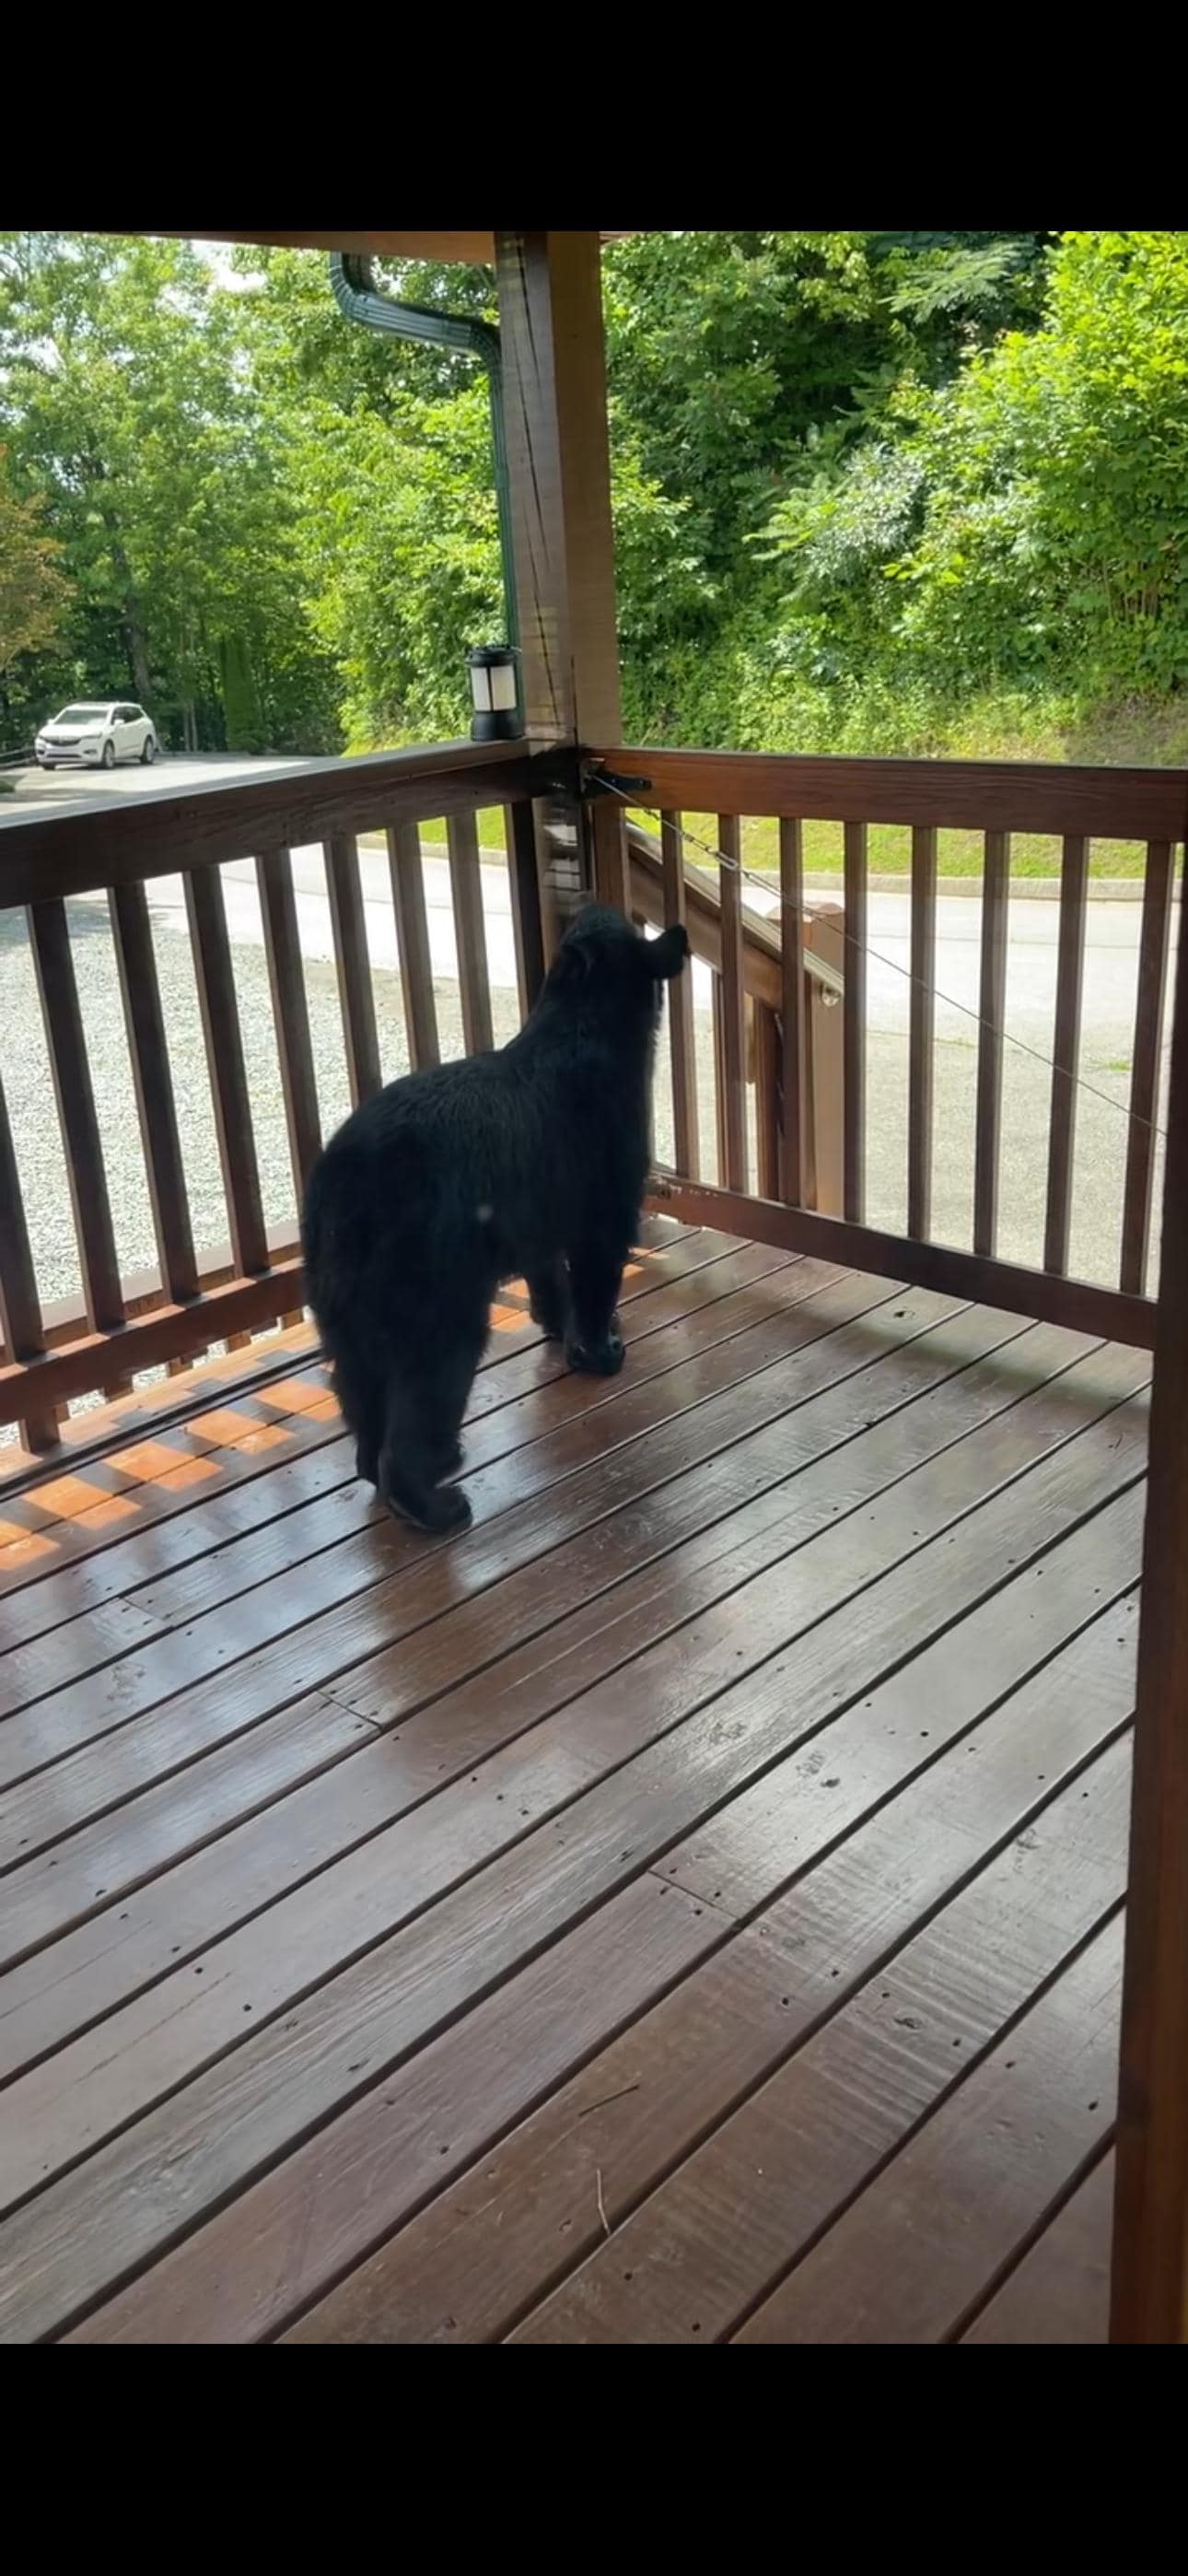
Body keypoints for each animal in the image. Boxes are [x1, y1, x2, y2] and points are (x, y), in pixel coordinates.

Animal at [302, 901, 690, 1535]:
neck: (579, 1018)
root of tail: (345, 1185)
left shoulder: (533, 1203)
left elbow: (547, 1270)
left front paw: (559, 1325)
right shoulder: (603, 1183)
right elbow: (597, 1267)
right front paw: (600, 1349)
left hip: (340, 1296)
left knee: (360, 1385)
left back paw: (392, 1465)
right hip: (431, 1287)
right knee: (427, 1382)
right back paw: (432, 1501)